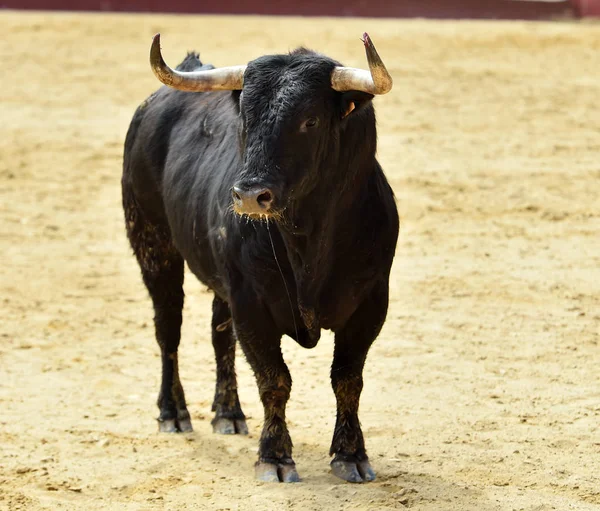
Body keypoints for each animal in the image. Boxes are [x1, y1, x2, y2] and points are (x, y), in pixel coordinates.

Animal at [120, 36, 398, 484]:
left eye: (310, 121)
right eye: (246, 121)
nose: (250, 195)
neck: (308, 240)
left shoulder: (370, 305)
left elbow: (347, 379)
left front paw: (351, 455)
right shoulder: (252, 304)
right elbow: (274, 379)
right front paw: (275, 457)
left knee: (219, 336)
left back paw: (228, 413)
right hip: (153, 247)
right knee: (168, 330)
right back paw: (173, 413)